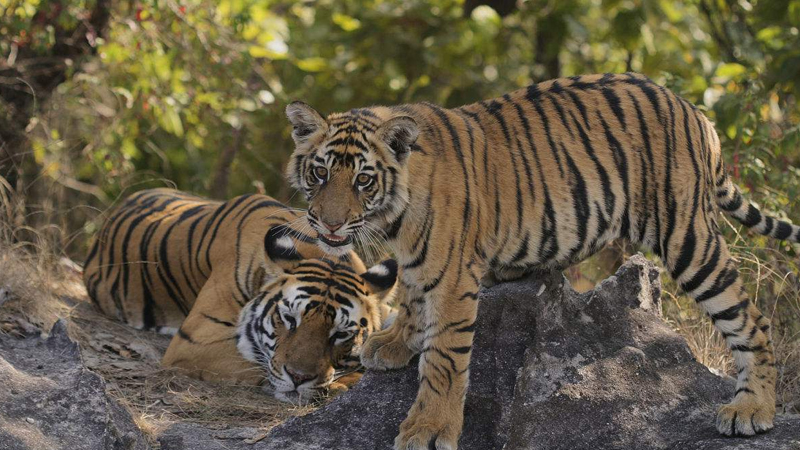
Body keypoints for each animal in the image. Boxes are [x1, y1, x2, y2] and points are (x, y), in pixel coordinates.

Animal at [83, 188, 398, 400]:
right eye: (289, 320)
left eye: (341, 334)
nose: (299, 377)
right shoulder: (196, 340)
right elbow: (258, 365)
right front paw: (344, 382)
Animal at [286, 72, 800, 448]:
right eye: (320, 172)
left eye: (363, 180)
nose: (329, 225)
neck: (395, 216)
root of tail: (693, 110)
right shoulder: (421, 262)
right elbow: (412, 297)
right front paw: (394, 343)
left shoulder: (454, 280)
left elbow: (443, 361)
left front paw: (428, 430)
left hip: (688, 237)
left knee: (751, 319)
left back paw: (751, 409)